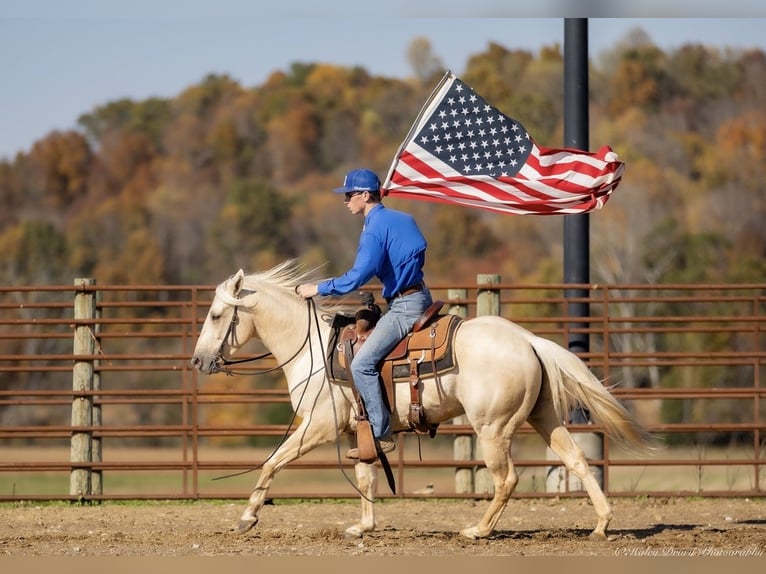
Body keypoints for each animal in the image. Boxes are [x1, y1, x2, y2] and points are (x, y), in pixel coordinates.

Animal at [190, 259, 652, 540]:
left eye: (216, 314)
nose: (198, 359)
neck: (316, 352)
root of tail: (527, 339)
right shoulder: (358, 431)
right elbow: (366, 477)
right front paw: (363, 527)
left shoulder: (318, 427)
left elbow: (272, 462)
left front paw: (247, 517)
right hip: (543, 417)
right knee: (577, 460)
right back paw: (601, 524)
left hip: (493, 429)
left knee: (507, 480)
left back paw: (478, 530)